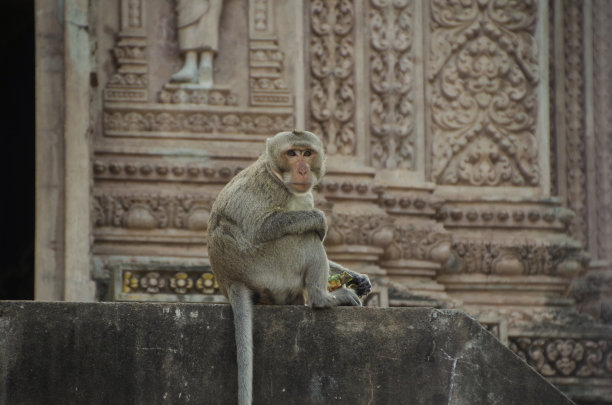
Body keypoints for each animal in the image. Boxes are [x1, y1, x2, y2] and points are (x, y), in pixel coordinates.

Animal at [208, 129, 370, 404]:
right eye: (292, 153)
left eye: (307, 153)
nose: (302, 169)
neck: (277, 175)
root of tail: (229, 279)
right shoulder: (271, 188)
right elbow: (261, 227)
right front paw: (319, 219)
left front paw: (357, 278)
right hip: (269, 266)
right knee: (305, 238)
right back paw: (323, 298)